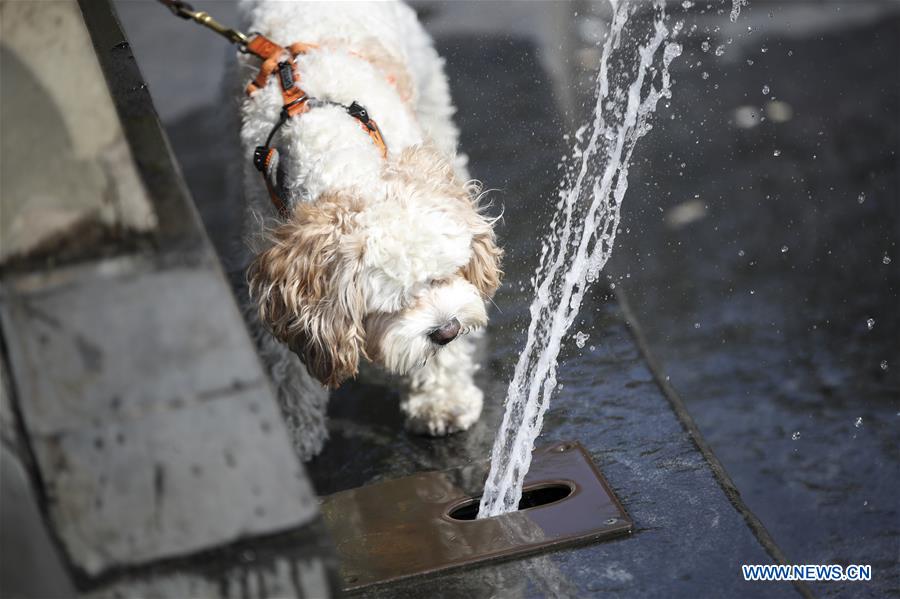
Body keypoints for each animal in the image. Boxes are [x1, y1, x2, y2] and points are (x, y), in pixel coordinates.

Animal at [229, 0, 502, 462]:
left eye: (443, 276)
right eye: (394, 304)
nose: (447, 331)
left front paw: (442, 400)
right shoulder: (277, 277)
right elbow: (287, 363)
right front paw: (295, 431)